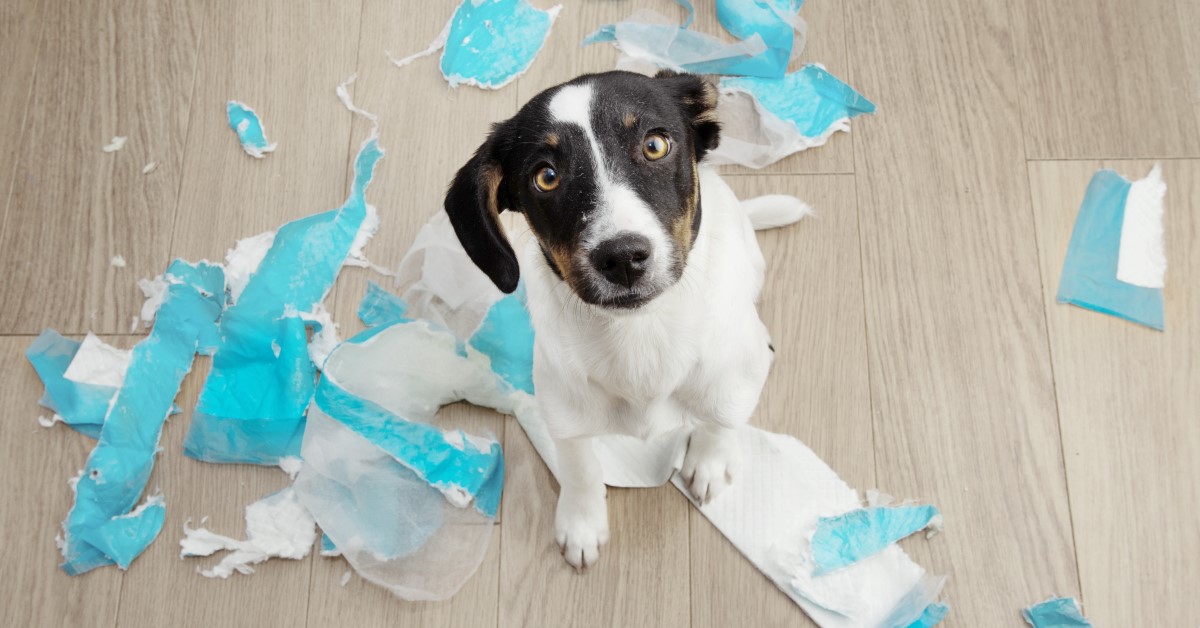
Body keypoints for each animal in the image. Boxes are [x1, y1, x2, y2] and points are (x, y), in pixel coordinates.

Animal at [441, 69, 806, 569]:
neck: (641, 336)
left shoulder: (733, 380)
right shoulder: (564, 410)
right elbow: (579, 468)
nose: (622, 258)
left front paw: (708, 463)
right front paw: (581, 525)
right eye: (546, 177)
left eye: (654, 144)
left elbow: (720, 420)